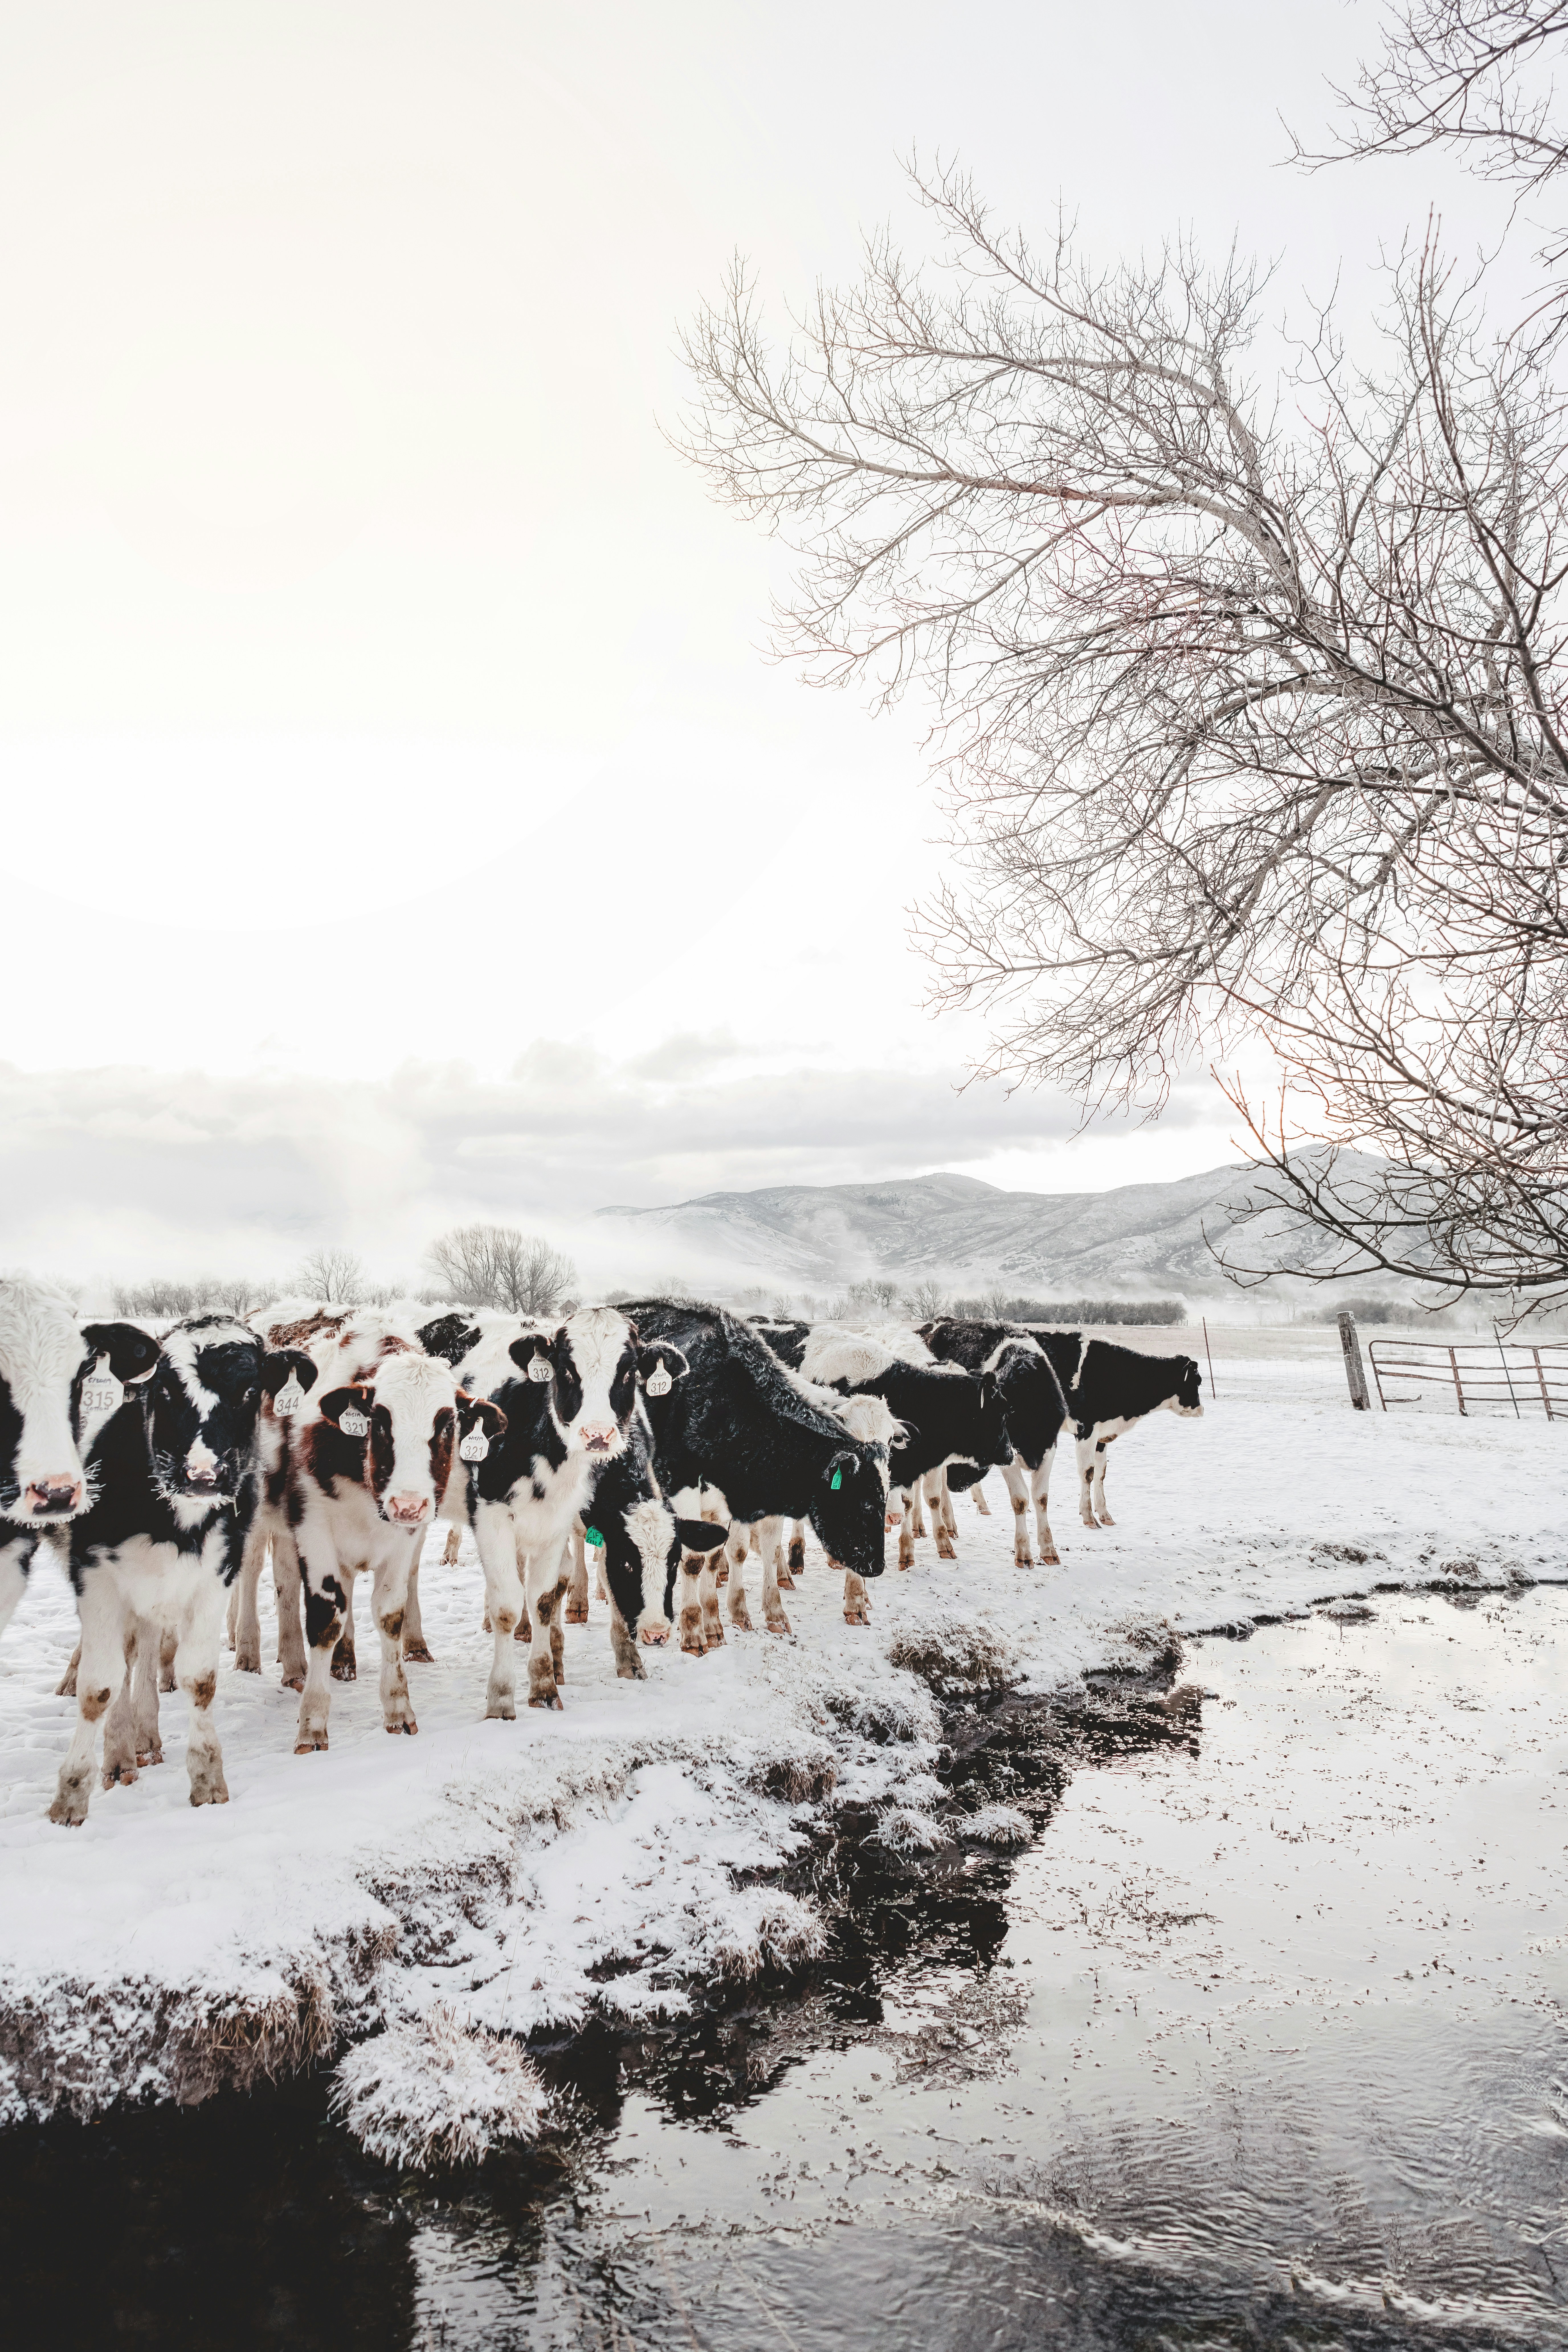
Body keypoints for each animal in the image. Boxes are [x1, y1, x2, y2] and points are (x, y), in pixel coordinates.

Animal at [46, 1314, 316, 1825]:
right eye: (165, 1389)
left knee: (145, 1649)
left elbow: (199, 1678)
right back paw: (119, 1750)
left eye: (251, 1390)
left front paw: (208, 1780)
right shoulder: (96, 1576)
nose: (203, 1475)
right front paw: (71, 1796)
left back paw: (143, 1738)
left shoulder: (214, 1575)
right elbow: (100, 1685)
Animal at [427, 1306, 687, 1714]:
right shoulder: (498, 1512)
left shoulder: (566, 1518)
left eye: (629, 1370)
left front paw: (627, 1659)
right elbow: (532, 1591)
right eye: (566, 1369)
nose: (657, 1632)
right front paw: (539, 1670)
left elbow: (557, 1591)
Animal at [617, 1300, 893, 1656]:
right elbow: (693, 1560)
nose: (878, 1566)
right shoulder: (680, 1482)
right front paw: (693, 1633)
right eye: (863, 1502)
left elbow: (716, 1555)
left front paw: (714, 1627)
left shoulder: (723, 1499)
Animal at [918, 1319, 1071, 1567]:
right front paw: (1024, 1553)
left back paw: (950, 1525)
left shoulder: (1050, 1448)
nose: (955, 1484)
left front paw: (1049, 1549)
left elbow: (1042, 1498)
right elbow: (1020, 1499)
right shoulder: (1007, 1456)